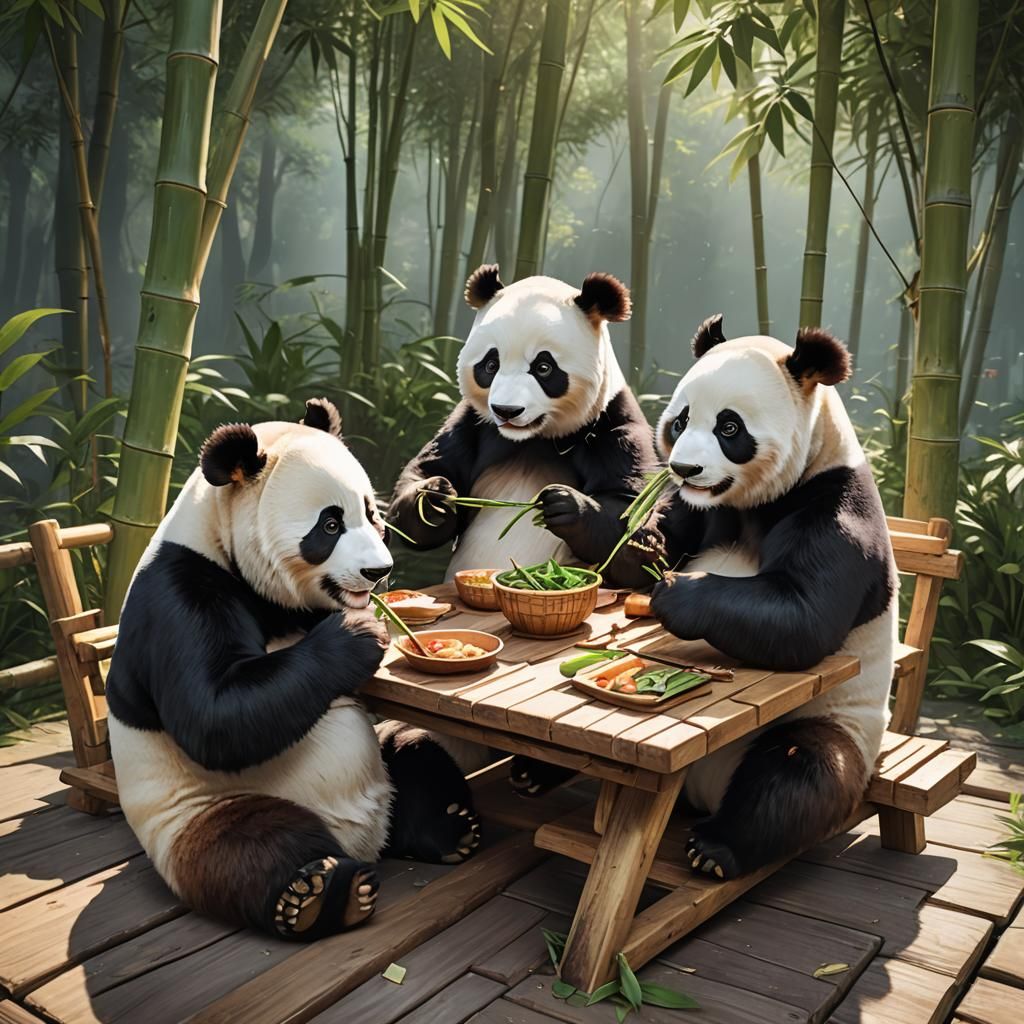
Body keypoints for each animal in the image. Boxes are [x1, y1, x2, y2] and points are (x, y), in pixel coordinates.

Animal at [105, 399, 481, 942]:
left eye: (372, 513)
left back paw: (448, 830)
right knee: (252, 845)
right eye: (329, 525)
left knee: (415, 752)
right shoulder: (181, 592)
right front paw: (358, 633)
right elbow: (214, 714)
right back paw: (320, 894)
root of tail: (366, 843)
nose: (378, 572)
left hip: (382, 762)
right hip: (197, 810)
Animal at [648, 316, 897, 881]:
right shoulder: (699, 508)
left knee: (799, 771)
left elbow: (803, 615)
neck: (752, 503)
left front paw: (675, 593)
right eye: (680, 420)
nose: (684, 469)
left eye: (729, 428)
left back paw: (716, 849)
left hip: (834, 720)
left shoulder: (835, 505)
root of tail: (700, 791)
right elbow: (656, 536)